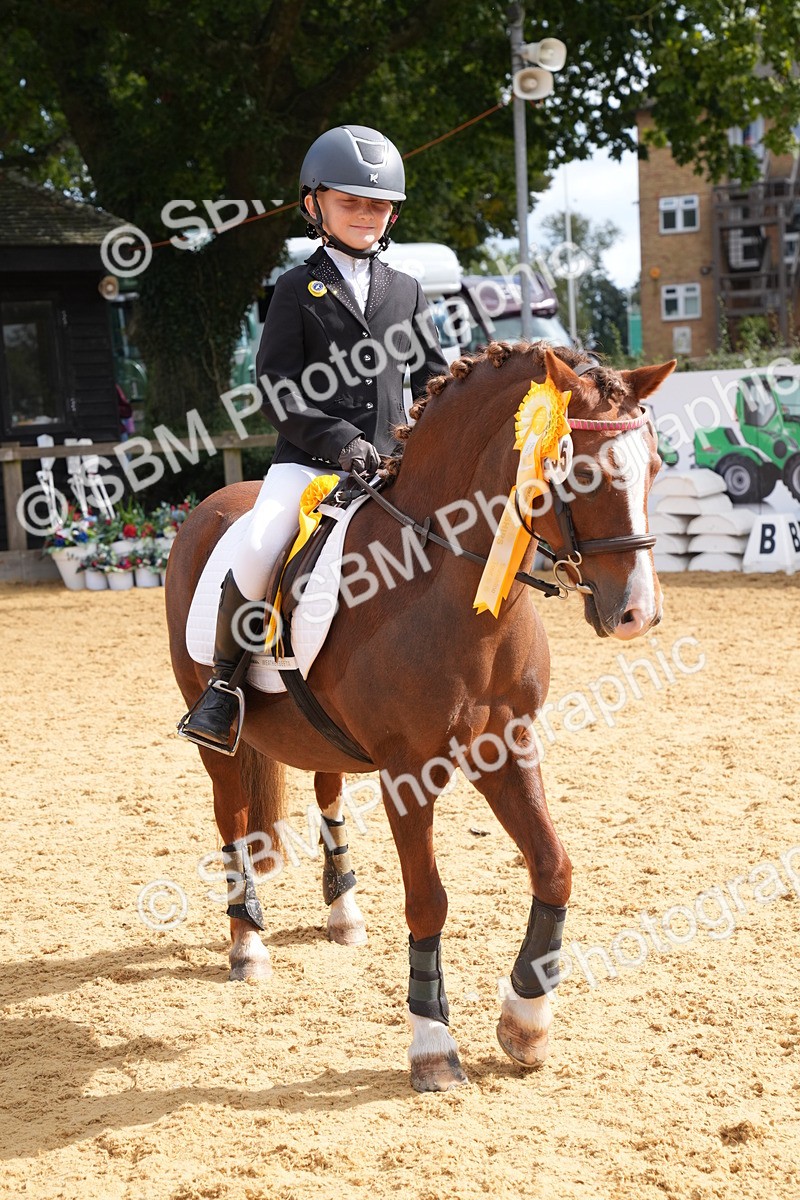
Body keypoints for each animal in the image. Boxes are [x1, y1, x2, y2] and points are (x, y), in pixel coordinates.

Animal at [165, 342, 676, 1092]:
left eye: (657, 466)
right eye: (579, 471)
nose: (638, 613)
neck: (449, 580)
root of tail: (211, 506)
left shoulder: (507, 745)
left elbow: (553, 866)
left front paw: (526, 1024)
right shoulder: (409, 770)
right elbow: (428, 899)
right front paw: (433, 1047)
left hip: (323, 740)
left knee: (326, 793)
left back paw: (343, 913)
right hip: (215, 738)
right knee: (231, 820)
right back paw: (248, 946)